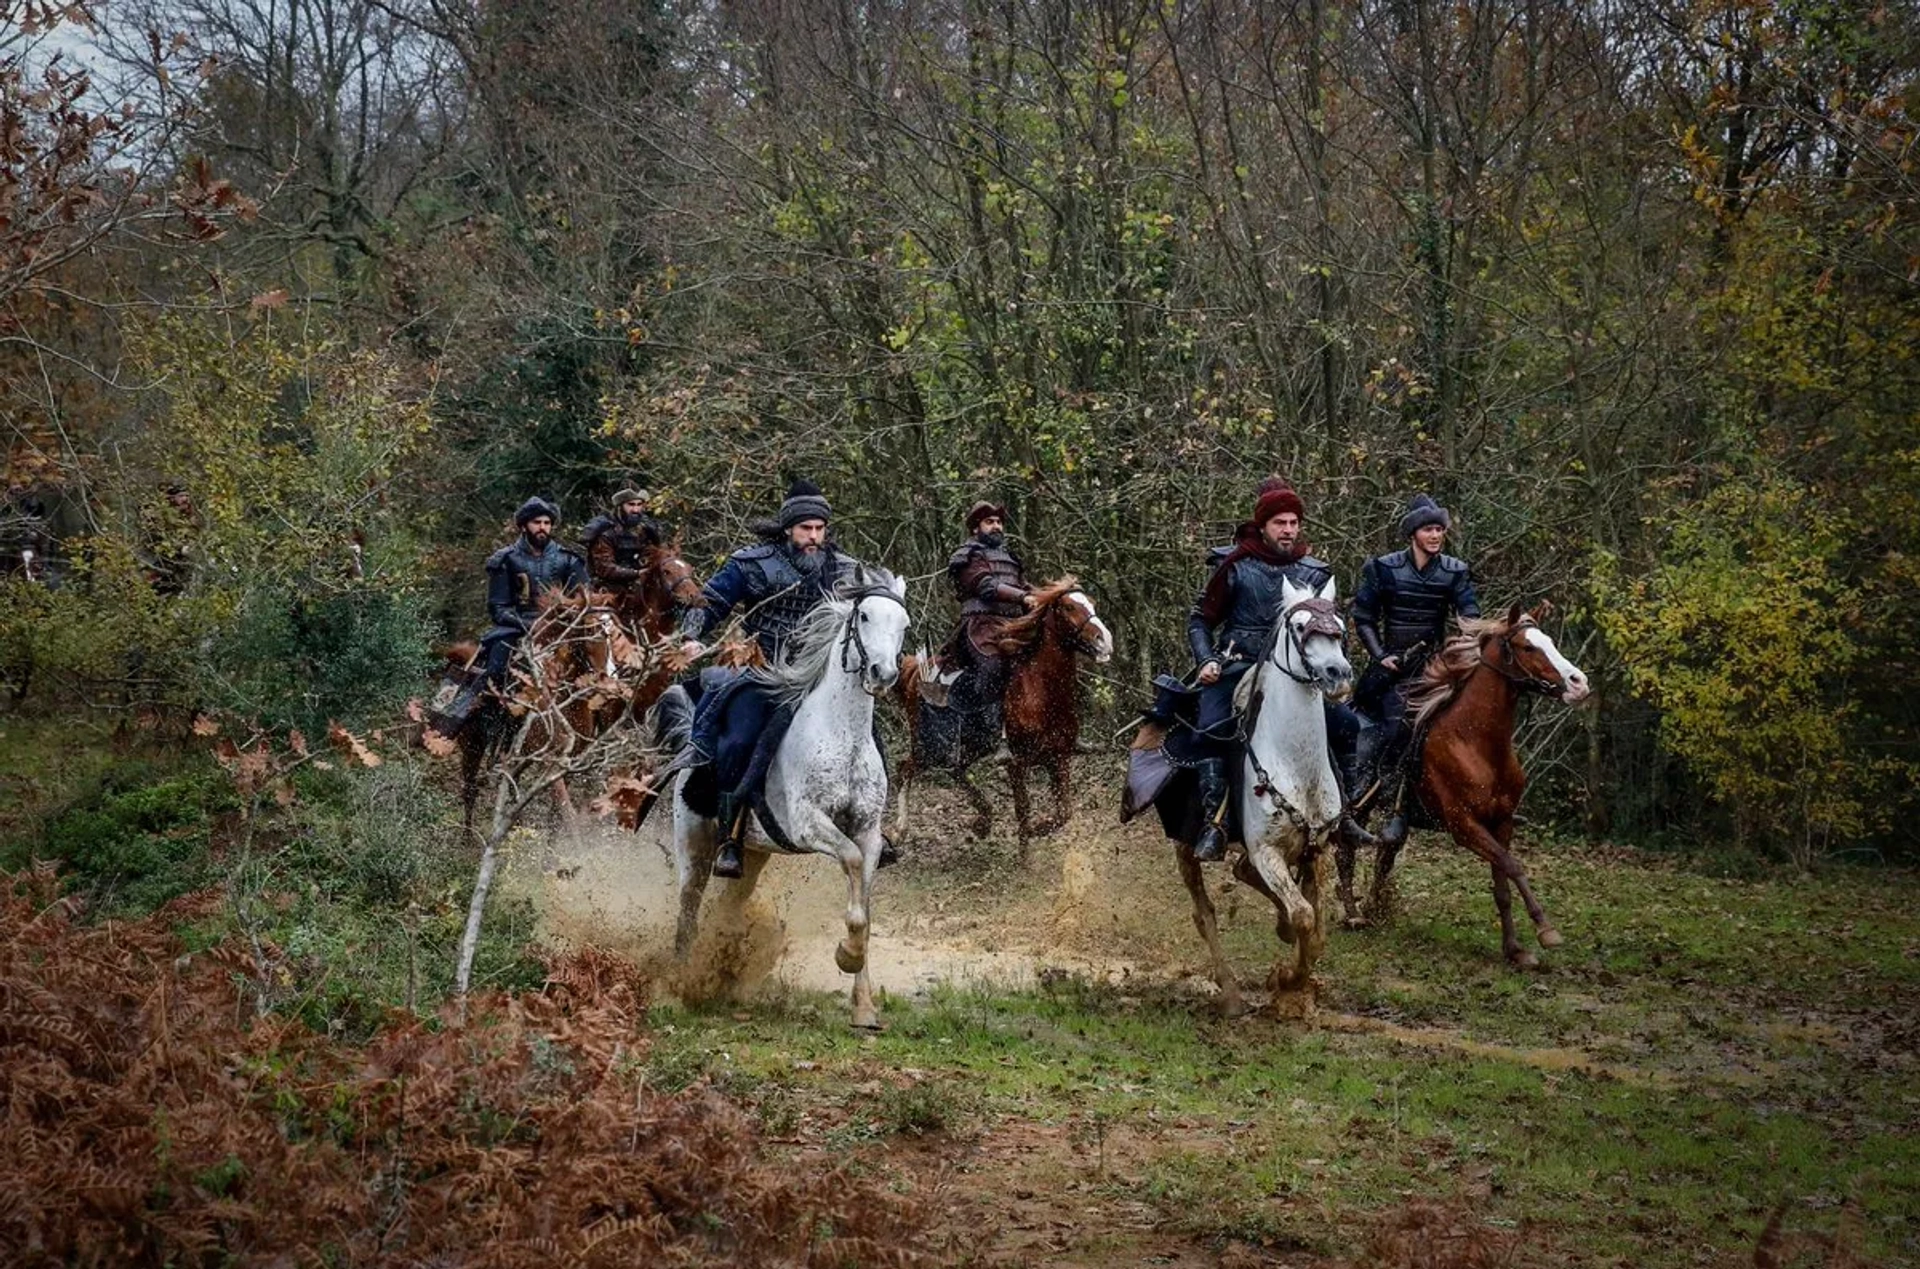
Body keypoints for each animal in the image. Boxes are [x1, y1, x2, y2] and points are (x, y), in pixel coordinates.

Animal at [656, 568, 910, 1021]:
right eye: (863, 615)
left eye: (904, 625)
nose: (882, 674)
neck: (842, 736)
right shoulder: (807, 824)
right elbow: (849, 863)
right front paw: (846, 956)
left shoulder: (869, 833)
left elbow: (863, 909)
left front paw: (864, 1006)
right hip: (694, 844)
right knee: (688, 907)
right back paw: (678, 987)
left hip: (753, 853)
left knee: (729, 902)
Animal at [894, 575, 1113, 852]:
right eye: (1069, 607)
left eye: (1092, 604)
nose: (1104, 641)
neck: (1041, 691)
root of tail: (916, 672)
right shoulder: (1016, 763)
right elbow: (1023, 810)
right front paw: (1026, 854)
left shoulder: (1059, 757)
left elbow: (1064, 811)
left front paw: (1037, 829)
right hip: (931, 746)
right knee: (905, 768)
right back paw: (899, 830)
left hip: (970, 746)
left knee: (955, 770)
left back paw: (983, 821)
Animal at [1175, 575, 1359, 1021]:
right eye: (1300, 627)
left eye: (1339, 627)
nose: (1339, 675)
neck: (1294, 765)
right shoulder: (1266, 851)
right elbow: (1304, 915)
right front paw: (1287, 980)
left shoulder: (1318, 849)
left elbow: (1316, 928)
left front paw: (1296, 981)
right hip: (1185, 845)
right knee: (1204, 913)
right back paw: (1230, 996)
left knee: (1243, 874)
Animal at [1336, 598, 1589, 963]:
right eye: (1527, 646)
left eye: (1551, 642)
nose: (1580, 683)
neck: (1475, 742)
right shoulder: (1465, 826)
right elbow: (1512, 866)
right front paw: (1545, 929)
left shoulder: (1501, 823)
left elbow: (1502, 884)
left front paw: (1514, 950)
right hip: (1354, 805)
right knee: (1345, 850)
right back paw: (1353, 913)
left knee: (1383, 851)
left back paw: (1372, 910)